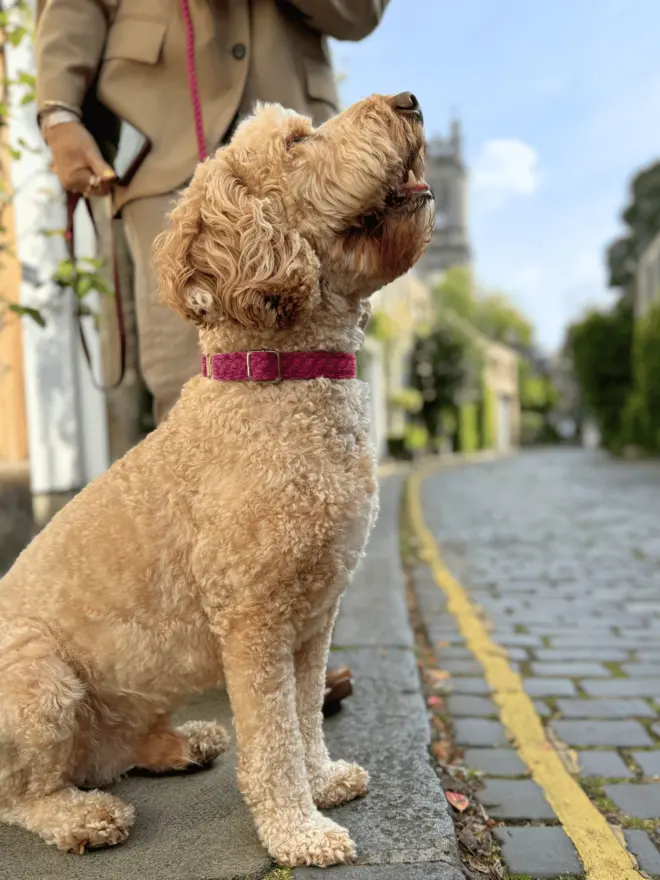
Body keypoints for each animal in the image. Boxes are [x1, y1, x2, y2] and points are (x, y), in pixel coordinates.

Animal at [0, 94, 434, 868]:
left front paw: (322, 781)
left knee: (112, 752)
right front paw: (298, 831)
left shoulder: (314, 616)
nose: (409, 101)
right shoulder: (255, 621)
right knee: (24, 793)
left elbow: (305, 715)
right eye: (297, 143)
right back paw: (82, 818)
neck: (278, 382)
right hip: (37, 678)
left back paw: (180, 744)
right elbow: (274, 741)